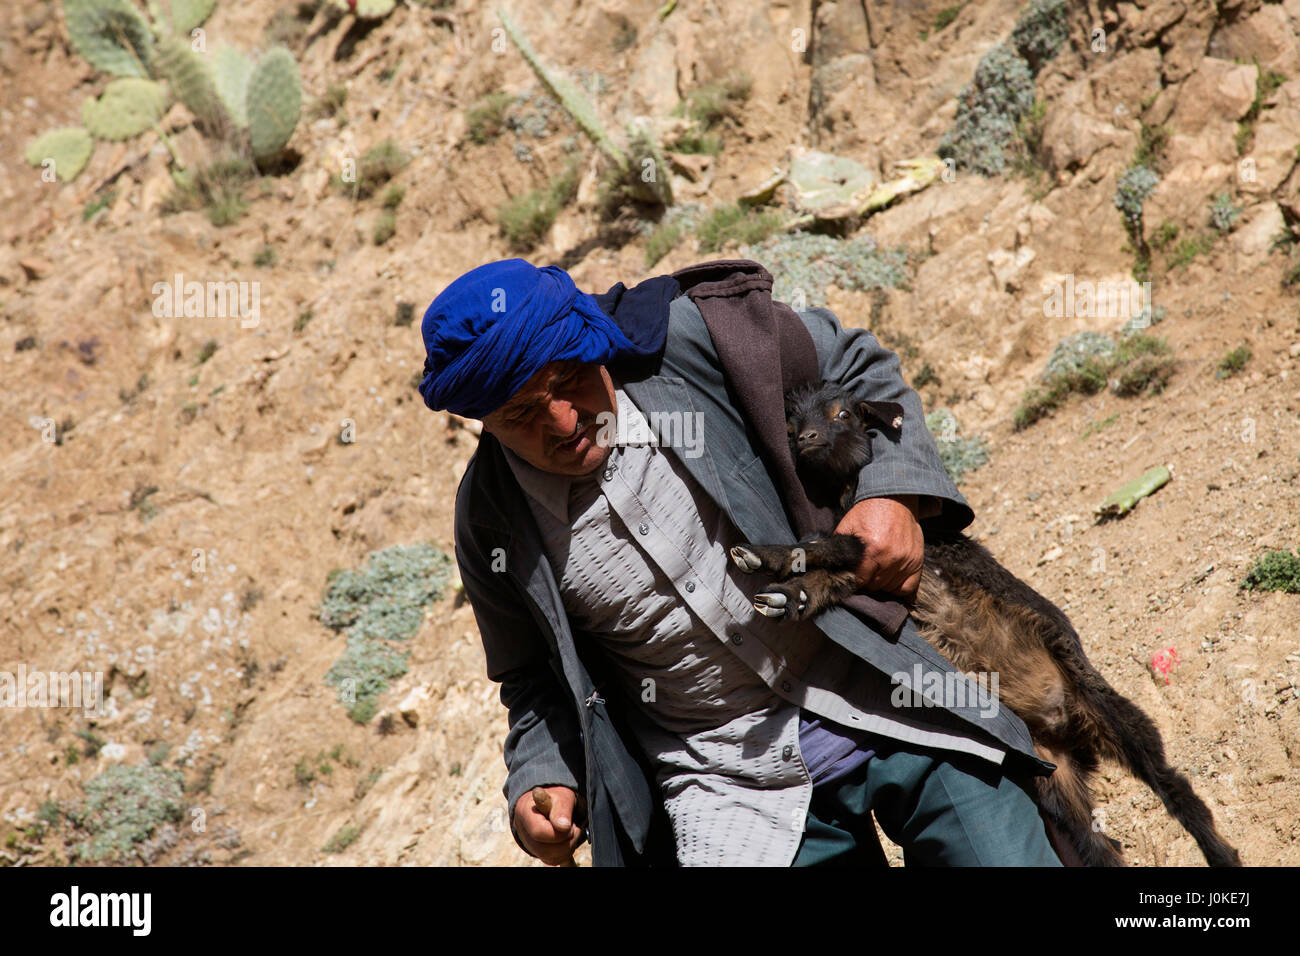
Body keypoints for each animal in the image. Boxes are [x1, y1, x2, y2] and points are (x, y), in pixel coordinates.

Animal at [728, 379, 1242, 868]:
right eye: (791, 424)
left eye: (843, 413)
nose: (806, 440)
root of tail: (1064, 725)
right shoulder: (881, 573)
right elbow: (833, 573)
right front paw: (786, 595)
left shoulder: (905, 546)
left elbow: (836, 544)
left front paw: (766, 555)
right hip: (1056, 781)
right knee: (1102, 846)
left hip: (1107, 708)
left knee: (1169, 781)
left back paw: (1223, 854)